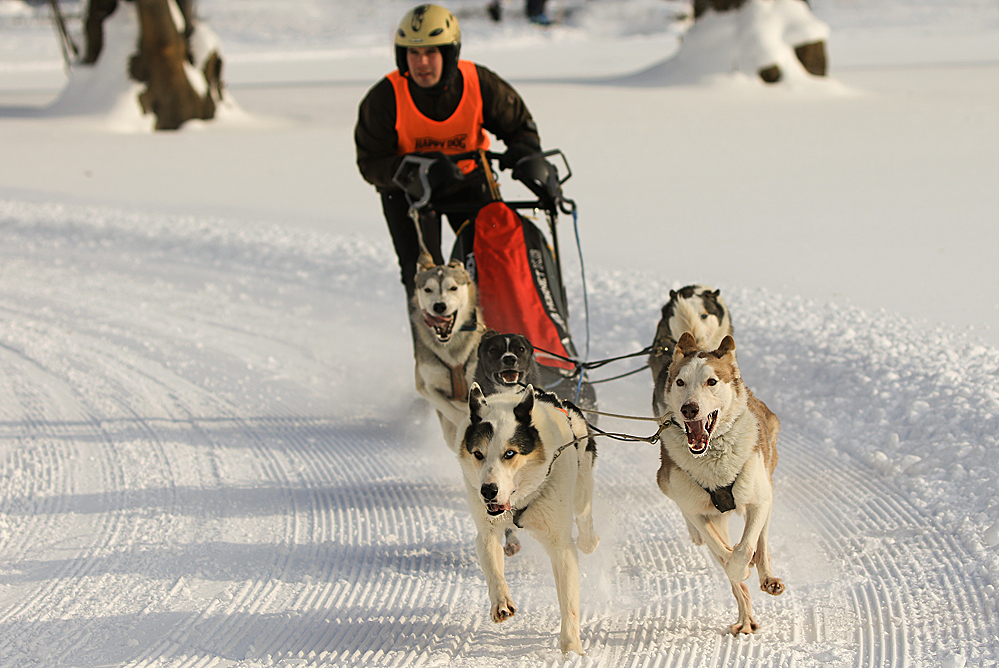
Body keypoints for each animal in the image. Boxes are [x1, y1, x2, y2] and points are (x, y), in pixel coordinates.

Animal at [458, 384, 600, 656]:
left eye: (510, 453)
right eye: (478, 453)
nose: (488, 490)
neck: (519, 501)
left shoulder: (561, 545)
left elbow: (568, 601)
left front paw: (571, 649)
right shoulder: (487, 532)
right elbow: (493, 569)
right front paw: (501, 601)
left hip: (581, 490)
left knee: (585, 517)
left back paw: (590, 540)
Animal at [652, 332, 784, 636]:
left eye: (711, 381)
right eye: (680, 382)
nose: (689, 409)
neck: (712, 455)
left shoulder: (758, 501)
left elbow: (746, 546)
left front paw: (746, 561)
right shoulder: (697, 511)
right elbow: (725, 555)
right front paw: (737, 568)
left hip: (766, 486)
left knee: (762, 539)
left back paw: (766, 575)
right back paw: (745, 617)